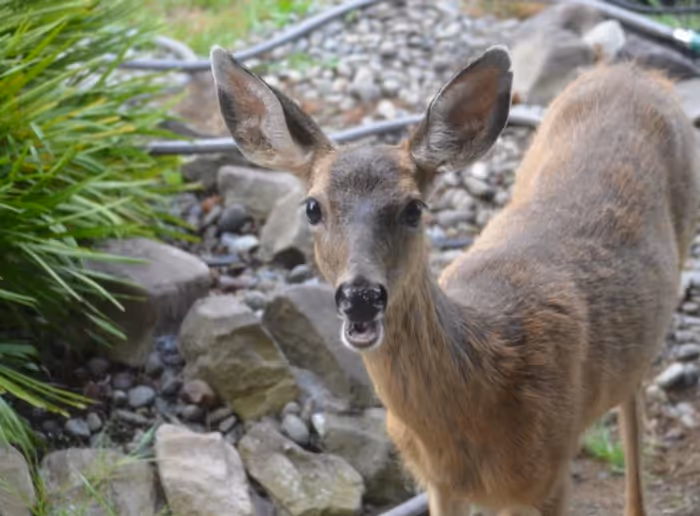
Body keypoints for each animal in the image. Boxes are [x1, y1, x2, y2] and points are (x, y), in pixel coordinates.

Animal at [210, 44, 700, 516]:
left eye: (414, 208)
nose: (361, 297)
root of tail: (632, 70)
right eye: (312, 207)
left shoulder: (552, 477)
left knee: (635, 397)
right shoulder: (439, 485)